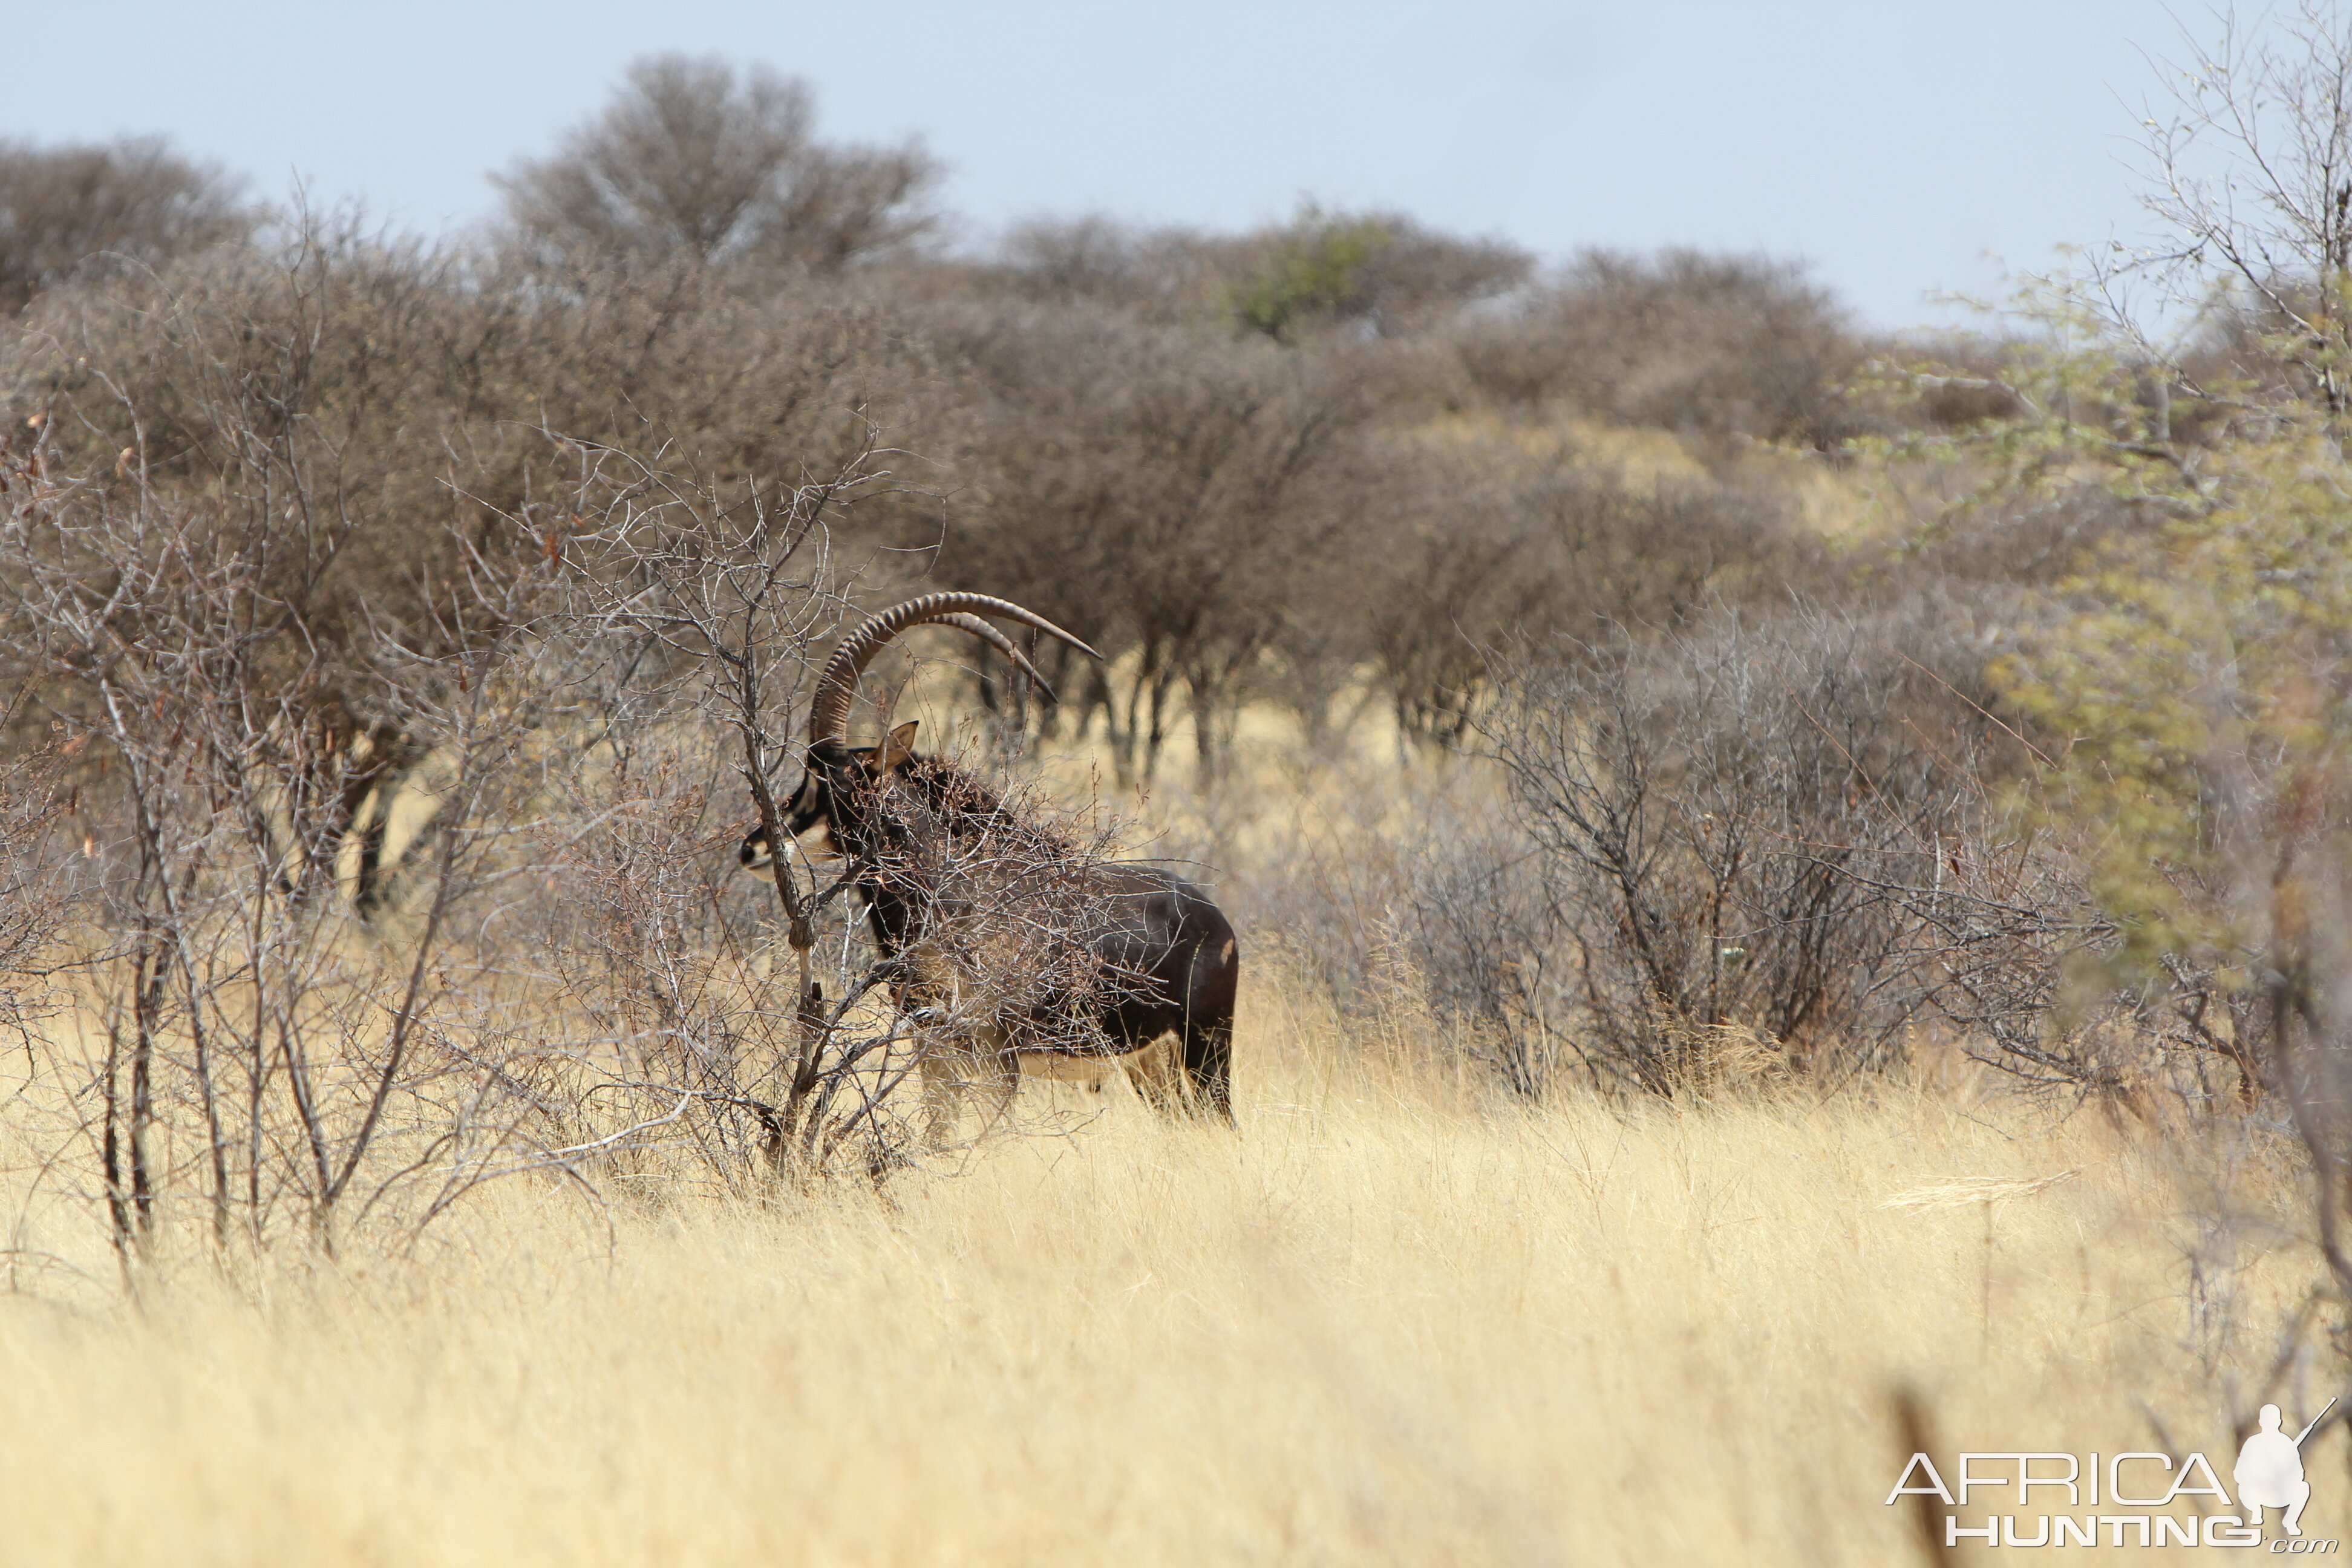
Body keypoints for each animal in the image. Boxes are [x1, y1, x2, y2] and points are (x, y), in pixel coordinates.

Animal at [743, 595, 1241, 1133]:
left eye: (838, 783)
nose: (753, 847)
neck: (948, 891)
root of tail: (1214, 916)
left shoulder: (999, 1052)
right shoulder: (932, 1044)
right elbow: (940, 1131)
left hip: (1207, 1050)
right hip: (1151, 1065)